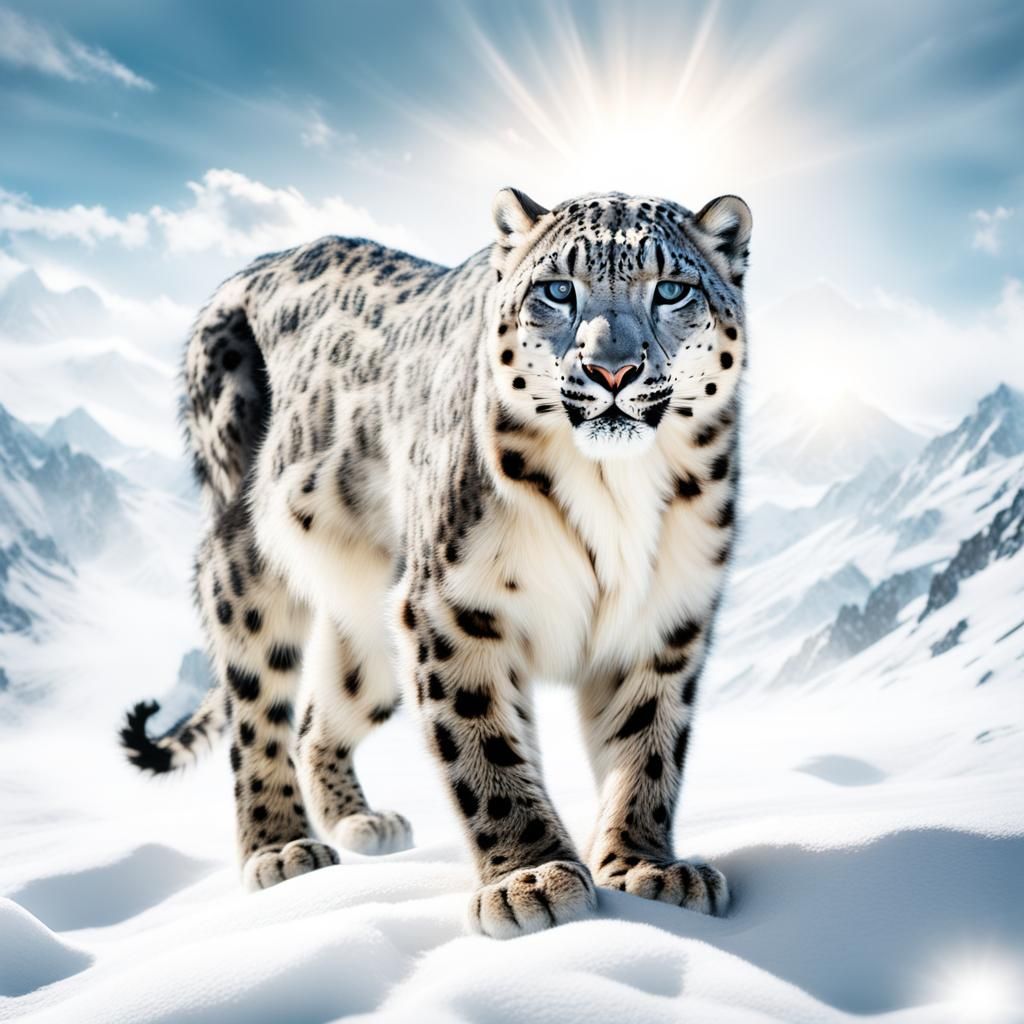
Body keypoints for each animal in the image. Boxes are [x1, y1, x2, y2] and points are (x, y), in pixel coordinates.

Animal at [120, 186, 752, 938]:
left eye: (672, 289)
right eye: (558, 289)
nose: (612, 370)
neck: (615, 491)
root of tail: (249, 270)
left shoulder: (666, 617)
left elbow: (648, 747)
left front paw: (645, 866)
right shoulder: (453, 605)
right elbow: (485, 745)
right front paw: (530, 879)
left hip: (370, 631)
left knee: (319, 714)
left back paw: (361, 822)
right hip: (247, 558)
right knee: (257, 706)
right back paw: (281, 848)